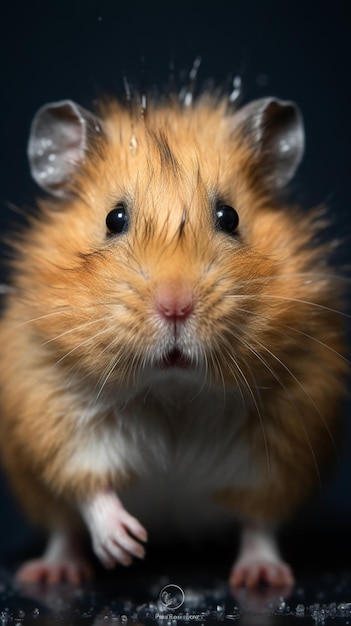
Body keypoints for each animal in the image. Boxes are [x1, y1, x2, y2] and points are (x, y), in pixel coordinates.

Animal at [0, 86, 348, 584]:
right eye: (114, 218)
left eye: (229, 216)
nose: (176, 306)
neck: (173, 392)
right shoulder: (52, 405)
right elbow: (87, 485)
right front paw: (126, 547)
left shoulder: (284, 440)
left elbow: (261, 518)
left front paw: (262, 579)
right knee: (62, 527)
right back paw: (54, 572)